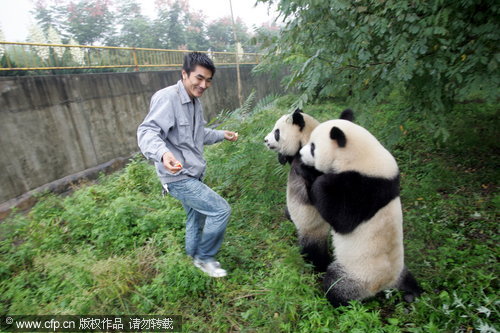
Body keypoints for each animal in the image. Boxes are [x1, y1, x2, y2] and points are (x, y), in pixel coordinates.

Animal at [264, 109, 334, 272]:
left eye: (276, 132)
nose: (265, 140)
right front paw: (282, 157)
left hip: (312, 227)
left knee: (313, 251)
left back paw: (320, 267)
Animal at [298, 113, 424, 304]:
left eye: (313, 147)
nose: (300, 153)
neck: (362, 157)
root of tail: (384, 284)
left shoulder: (364, 189)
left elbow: (342, 217)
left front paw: (312, 174)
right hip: (399, 269)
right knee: (408, 278)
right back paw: (413, 292)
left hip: (356, 275)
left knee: (337, 285)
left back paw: (333, 299)